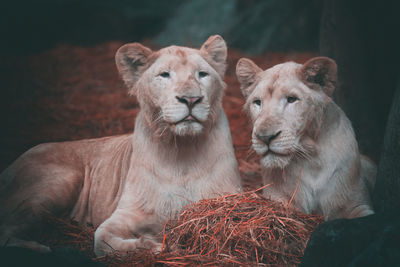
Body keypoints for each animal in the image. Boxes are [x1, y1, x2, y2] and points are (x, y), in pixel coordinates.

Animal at [0, 35, 241, 255]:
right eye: (164, 74)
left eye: (202, 74)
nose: (191, 99)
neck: (183, 150)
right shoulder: (125, 213)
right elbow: (103, 240)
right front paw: (154, 245)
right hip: (59, 183)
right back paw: (41, 247)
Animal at [236, 57, 376, 222]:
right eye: (257, 102)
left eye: (291, 99)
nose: (265, 137)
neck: (311, 158)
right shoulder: (278, 196)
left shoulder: (355, 202)